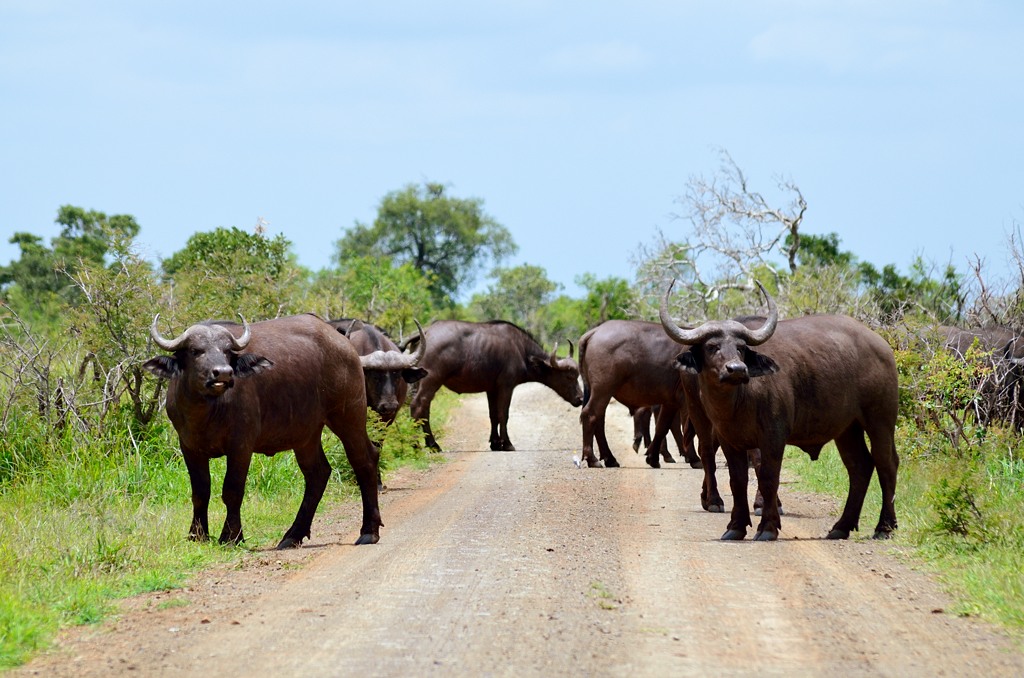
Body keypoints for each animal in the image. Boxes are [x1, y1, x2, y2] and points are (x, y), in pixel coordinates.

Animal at [144, 313, 385, 548]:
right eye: (195, 351)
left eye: (226, 351)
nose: (223, 373)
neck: (207, 411)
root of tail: (345, 344)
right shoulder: (189, 447)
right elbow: (201, 491)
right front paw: (197, 535)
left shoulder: (241, 445)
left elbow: (232, 490)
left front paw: (231, 537)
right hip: (307, 435)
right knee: (317, 473)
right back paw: (292, 535)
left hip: (349, 417)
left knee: (364, 460)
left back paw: (368, 531)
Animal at [405, 321, 585, 454]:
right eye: (569, 376)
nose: (580, 399)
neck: (521, 350)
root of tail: (427, 330)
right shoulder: (506, 386)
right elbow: (503, 415)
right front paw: (507, 444)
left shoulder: (491, 389)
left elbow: (493, 416)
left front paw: (495, 443)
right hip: (431, 380)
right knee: (418, 406)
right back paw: (423, 445)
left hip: (419, 381)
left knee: (423, 410)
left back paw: (428, 444)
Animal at [581, 321, 700, 471]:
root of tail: (595, 332)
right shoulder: (686, 401)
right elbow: (687, 427)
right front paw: (694, 458)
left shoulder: (670, 402)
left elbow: (663, 426)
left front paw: (653, 458)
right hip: (602, 390)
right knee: (590, 415)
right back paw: (593, 459)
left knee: (599, 419)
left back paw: (610, 459)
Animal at [663, 284, 897, 544]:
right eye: (712, 347)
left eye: (741, 348)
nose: (737, 369)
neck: (737, 402)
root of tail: (882, 346)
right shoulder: (729, 439)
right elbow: (737, 480)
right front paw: (736, 527)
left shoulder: (773, 436)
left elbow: (768, 476)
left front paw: (767, 527)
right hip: (847, 429)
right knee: (859, 467)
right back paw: (841, 527)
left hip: (880, 420)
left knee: (886, 464)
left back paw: (884, 527)